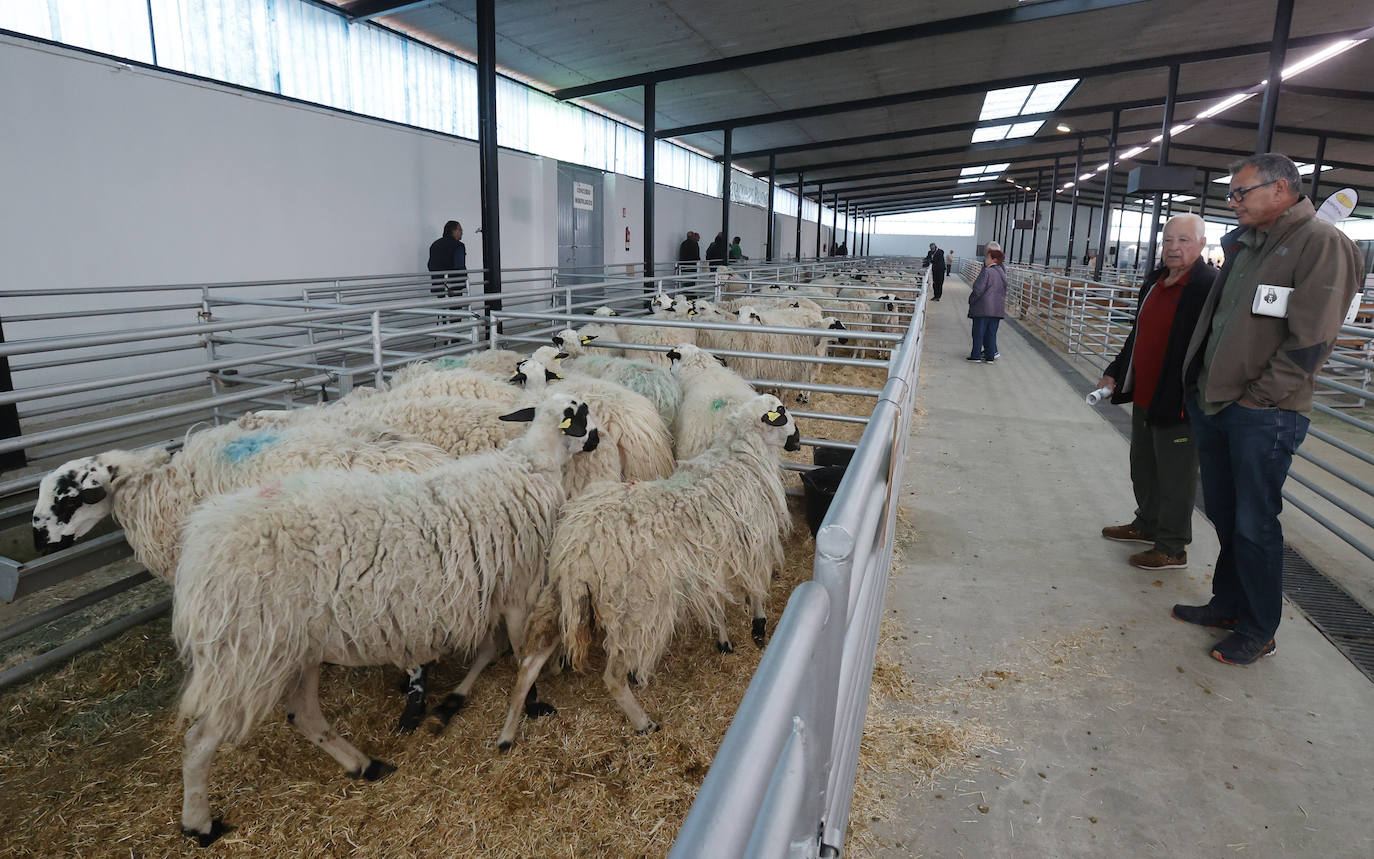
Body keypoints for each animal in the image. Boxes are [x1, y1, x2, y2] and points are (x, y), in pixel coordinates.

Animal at [173, 393, 601, 846]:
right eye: (582, 413)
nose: (598, 438)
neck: (532, 464)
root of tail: (198, 552)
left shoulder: (497, 591)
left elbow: (498, 649)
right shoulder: (518, 588)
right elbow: (522, 656)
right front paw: (533, 705)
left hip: (296, 649)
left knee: (302, 714)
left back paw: (365, 765)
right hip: (244, 655)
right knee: (199, 740)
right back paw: (199, 824)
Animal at [494, 393, 802, 742]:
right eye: (784, 414)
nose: (798, 440)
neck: (740, 457)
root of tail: (579, 550)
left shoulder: (712, 560)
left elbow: (717, 603)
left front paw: (723, 637)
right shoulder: (752, 547)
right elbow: (756, 591)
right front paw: (758, 627)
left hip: (561, 596)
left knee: (529, 663)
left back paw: (507, 733)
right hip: (635, 611)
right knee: (613, 677)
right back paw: (644, 722)